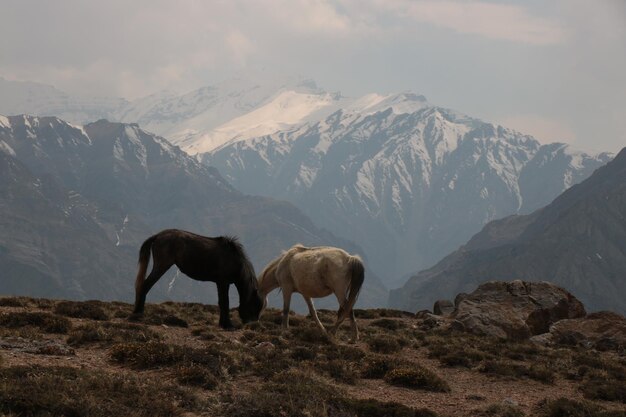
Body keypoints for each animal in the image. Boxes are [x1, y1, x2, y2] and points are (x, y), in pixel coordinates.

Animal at [131, 228, 260, 328]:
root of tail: (157, 236)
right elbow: (225, 302)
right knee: (146, 285)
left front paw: (223, 324)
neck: (234, 260)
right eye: (254, 306)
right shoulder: (224, 283)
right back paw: (138, 313)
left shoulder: (220, 283)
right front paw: (228, 325)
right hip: (161, 266)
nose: (252, 324)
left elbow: (221, 302)